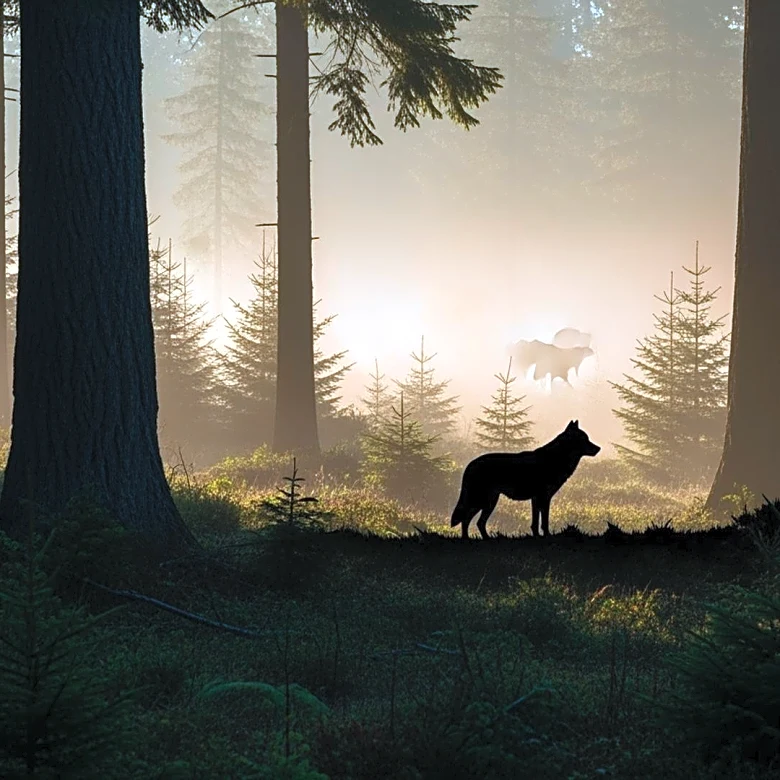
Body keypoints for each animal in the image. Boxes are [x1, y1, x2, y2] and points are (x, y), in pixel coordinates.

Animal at [450, 420, 600, 539]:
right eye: (585, 439)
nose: (599, 448)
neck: (555, 458)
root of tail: (470, 464)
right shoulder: (544, 498)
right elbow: (544, 522)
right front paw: (547, 536)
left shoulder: (536, 499)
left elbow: (535, 522)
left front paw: (536, 537)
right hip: (484, 501)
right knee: (469, 520)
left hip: (488, 501)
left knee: (474, 521)